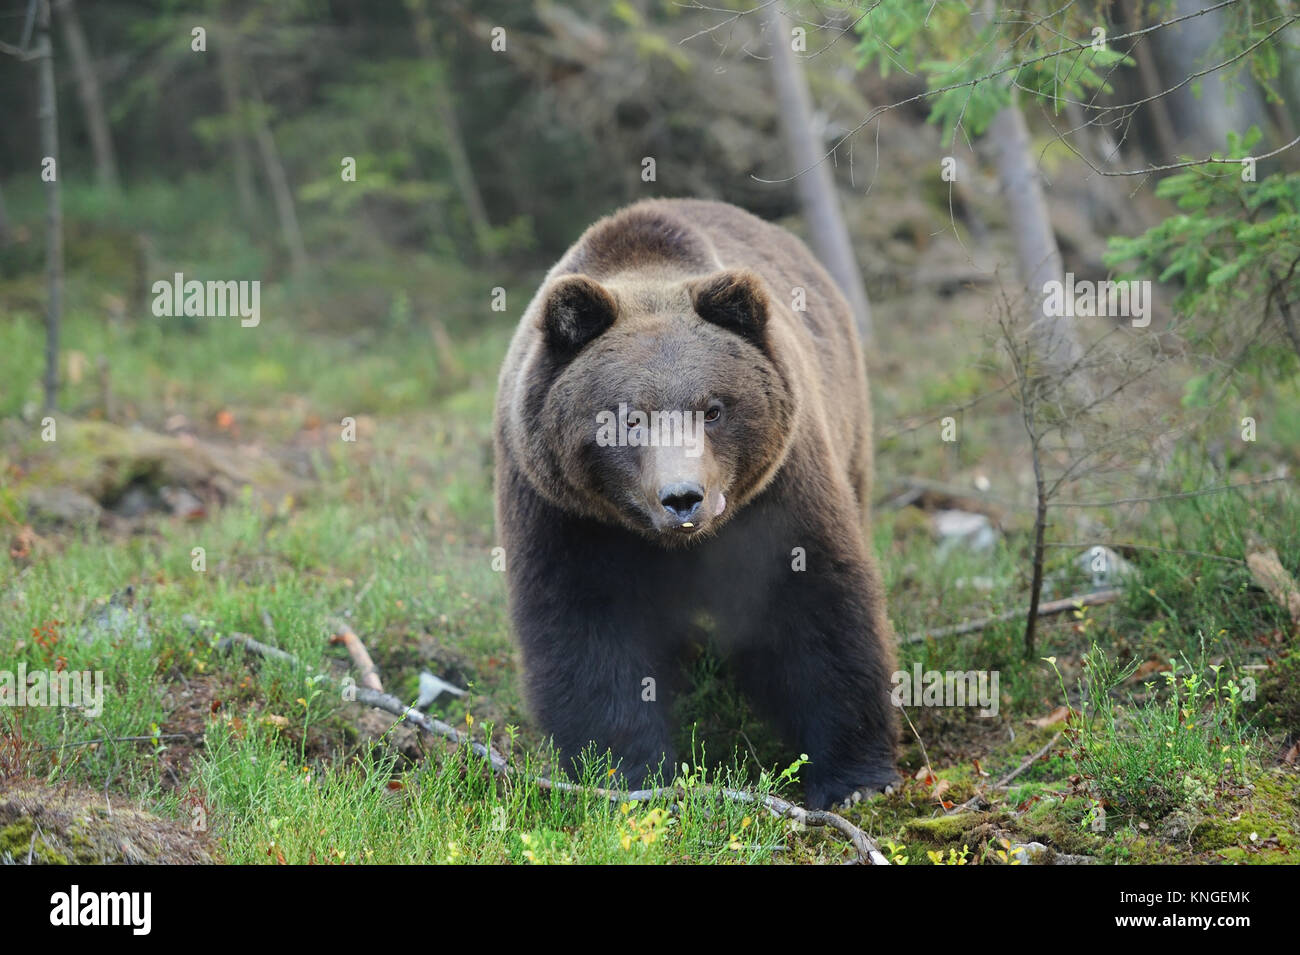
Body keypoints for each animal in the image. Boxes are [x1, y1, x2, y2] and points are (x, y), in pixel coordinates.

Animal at [493, 198, 898, 809]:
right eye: (627, 418)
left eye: (713, 408)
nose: (683, 497)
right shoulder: (564, 514)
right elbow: (583, 629)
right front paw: (627, 773)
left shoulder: (779, 489)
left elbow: (816, 606)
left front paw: (855, 778)